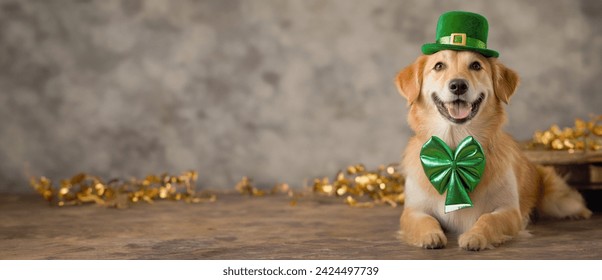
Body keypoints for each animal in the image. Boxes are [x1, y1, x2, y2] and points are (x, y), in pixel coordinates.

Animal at [394, 50, 592, 252]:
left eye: (475, 65)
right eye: (439, 66)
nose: (458, 85)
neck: (456, 149)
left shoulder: (509, 211)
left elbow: (488, 219)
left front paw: (474, 236)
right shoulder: (413, 210)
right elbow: (425, 221)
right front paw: (430, 236)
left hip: (558, 201)